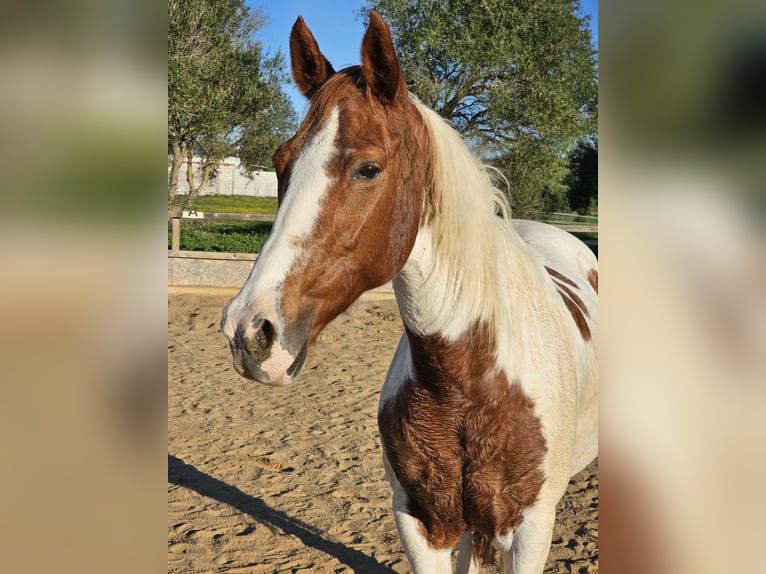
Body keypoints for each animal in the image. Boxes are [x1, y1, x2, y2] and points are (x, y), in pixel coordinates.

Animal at [222, 11, 600, 572]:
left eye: (368, 168)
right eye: (280, 161)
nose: (249, 332)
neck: (466, 383)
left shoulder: (530, 531)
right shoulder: (423, 522)